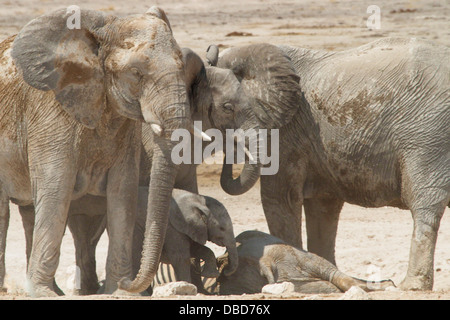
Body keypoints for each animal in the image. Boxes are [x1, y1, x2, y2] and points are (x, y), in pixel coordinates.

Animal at [0, 7, 194, 296]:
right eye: (136, 73)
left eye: (182, 65)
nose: (130, 282)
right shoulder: (50, 114)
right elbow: (57, 190)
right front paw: (44, 295)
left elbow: (122, 193)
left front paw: (119, 291)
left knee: (29, 212)